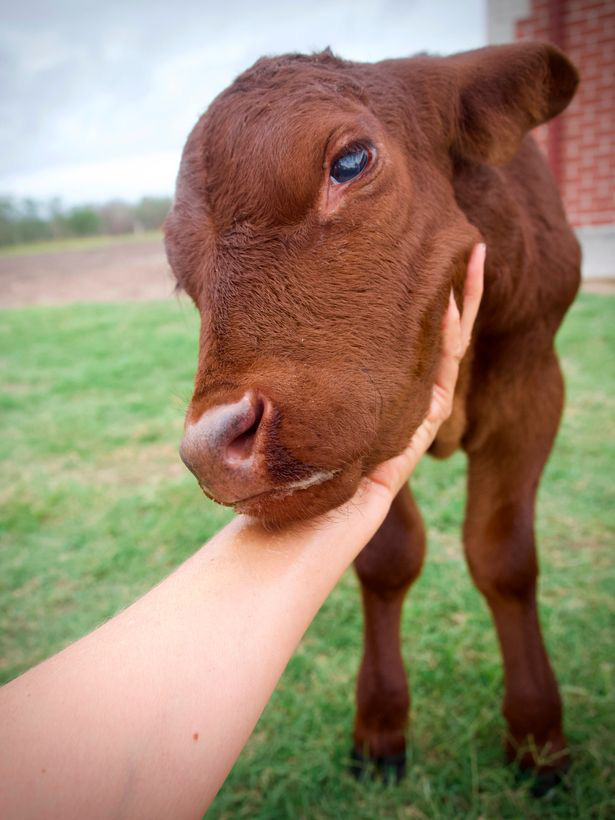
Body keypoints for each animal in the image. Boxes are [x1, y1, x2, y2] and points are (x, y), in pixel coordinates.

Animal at [165, 43, 584, 796]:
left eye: (351, 161)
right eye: (184, 277)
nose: (212, 446)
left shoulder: (535, 386)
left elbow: (503, 558)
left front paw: (539, 740)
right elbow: (387, 560)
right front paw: (382, 725)